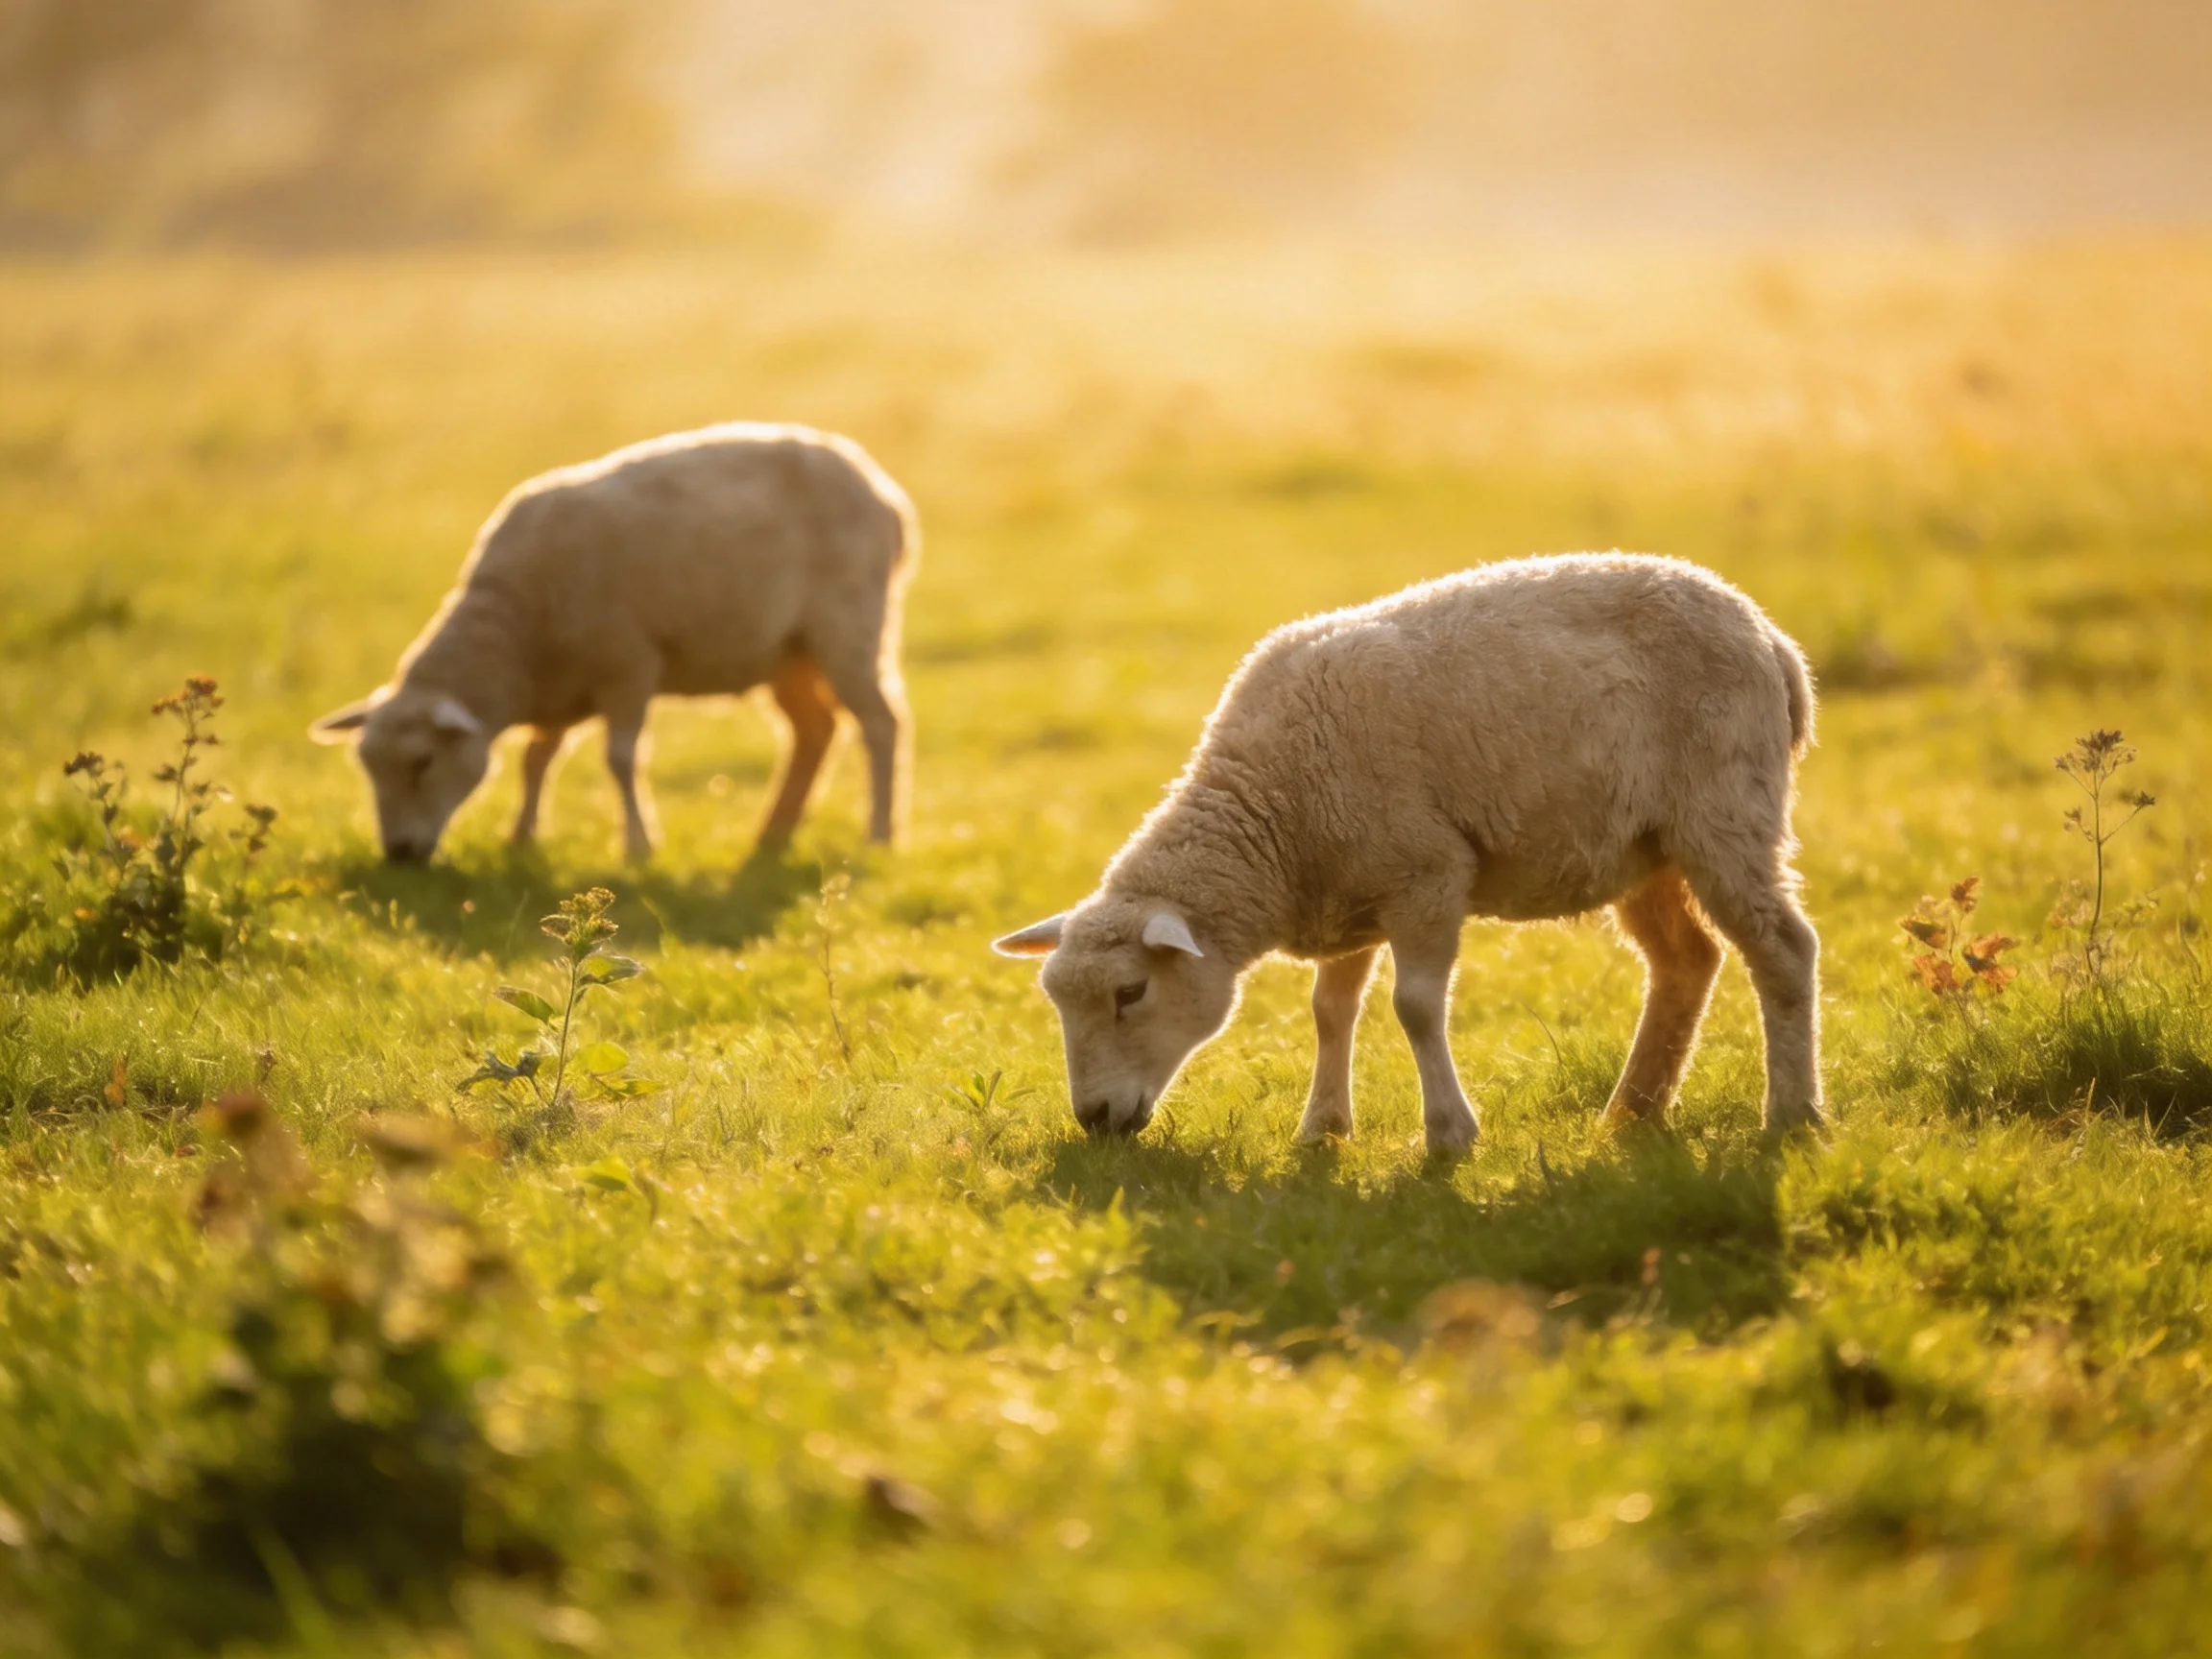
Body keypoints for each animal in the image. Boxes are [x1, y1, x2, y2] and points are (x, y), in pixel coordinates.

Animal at [311, 423, 918, 863]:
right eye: (367, 766)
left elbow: (621, 760)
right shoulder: (557, 688)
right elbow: (536, 759)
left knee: (881, 724)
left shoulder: (628, 665)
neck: (515, 633)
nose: (398, 855)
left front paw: (638, 846)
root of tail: (886, 495)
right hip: (786, 652)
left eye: (422, 761)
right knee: (816, 730)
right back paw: (773, 833)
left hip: (850, 628)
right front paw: (522, 836)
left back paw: (880, 835)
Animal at [994, 552, 1822, 1153]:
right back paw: (1631, 1113)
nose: (1094, 1119)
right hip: (1645, 846)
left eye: (1130, 992)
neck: (1273, 818)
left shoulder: (1425, 876)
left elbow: (1416, 1008)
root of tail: (1771, 637)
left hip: (1725, 808)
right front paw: (1323, 1128)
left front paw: (1450, 1134)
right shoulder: (1347, 889)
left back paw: (1793, 1114)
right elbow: (1330, 1011)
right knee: (1687, 961)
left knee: (1782, 948)